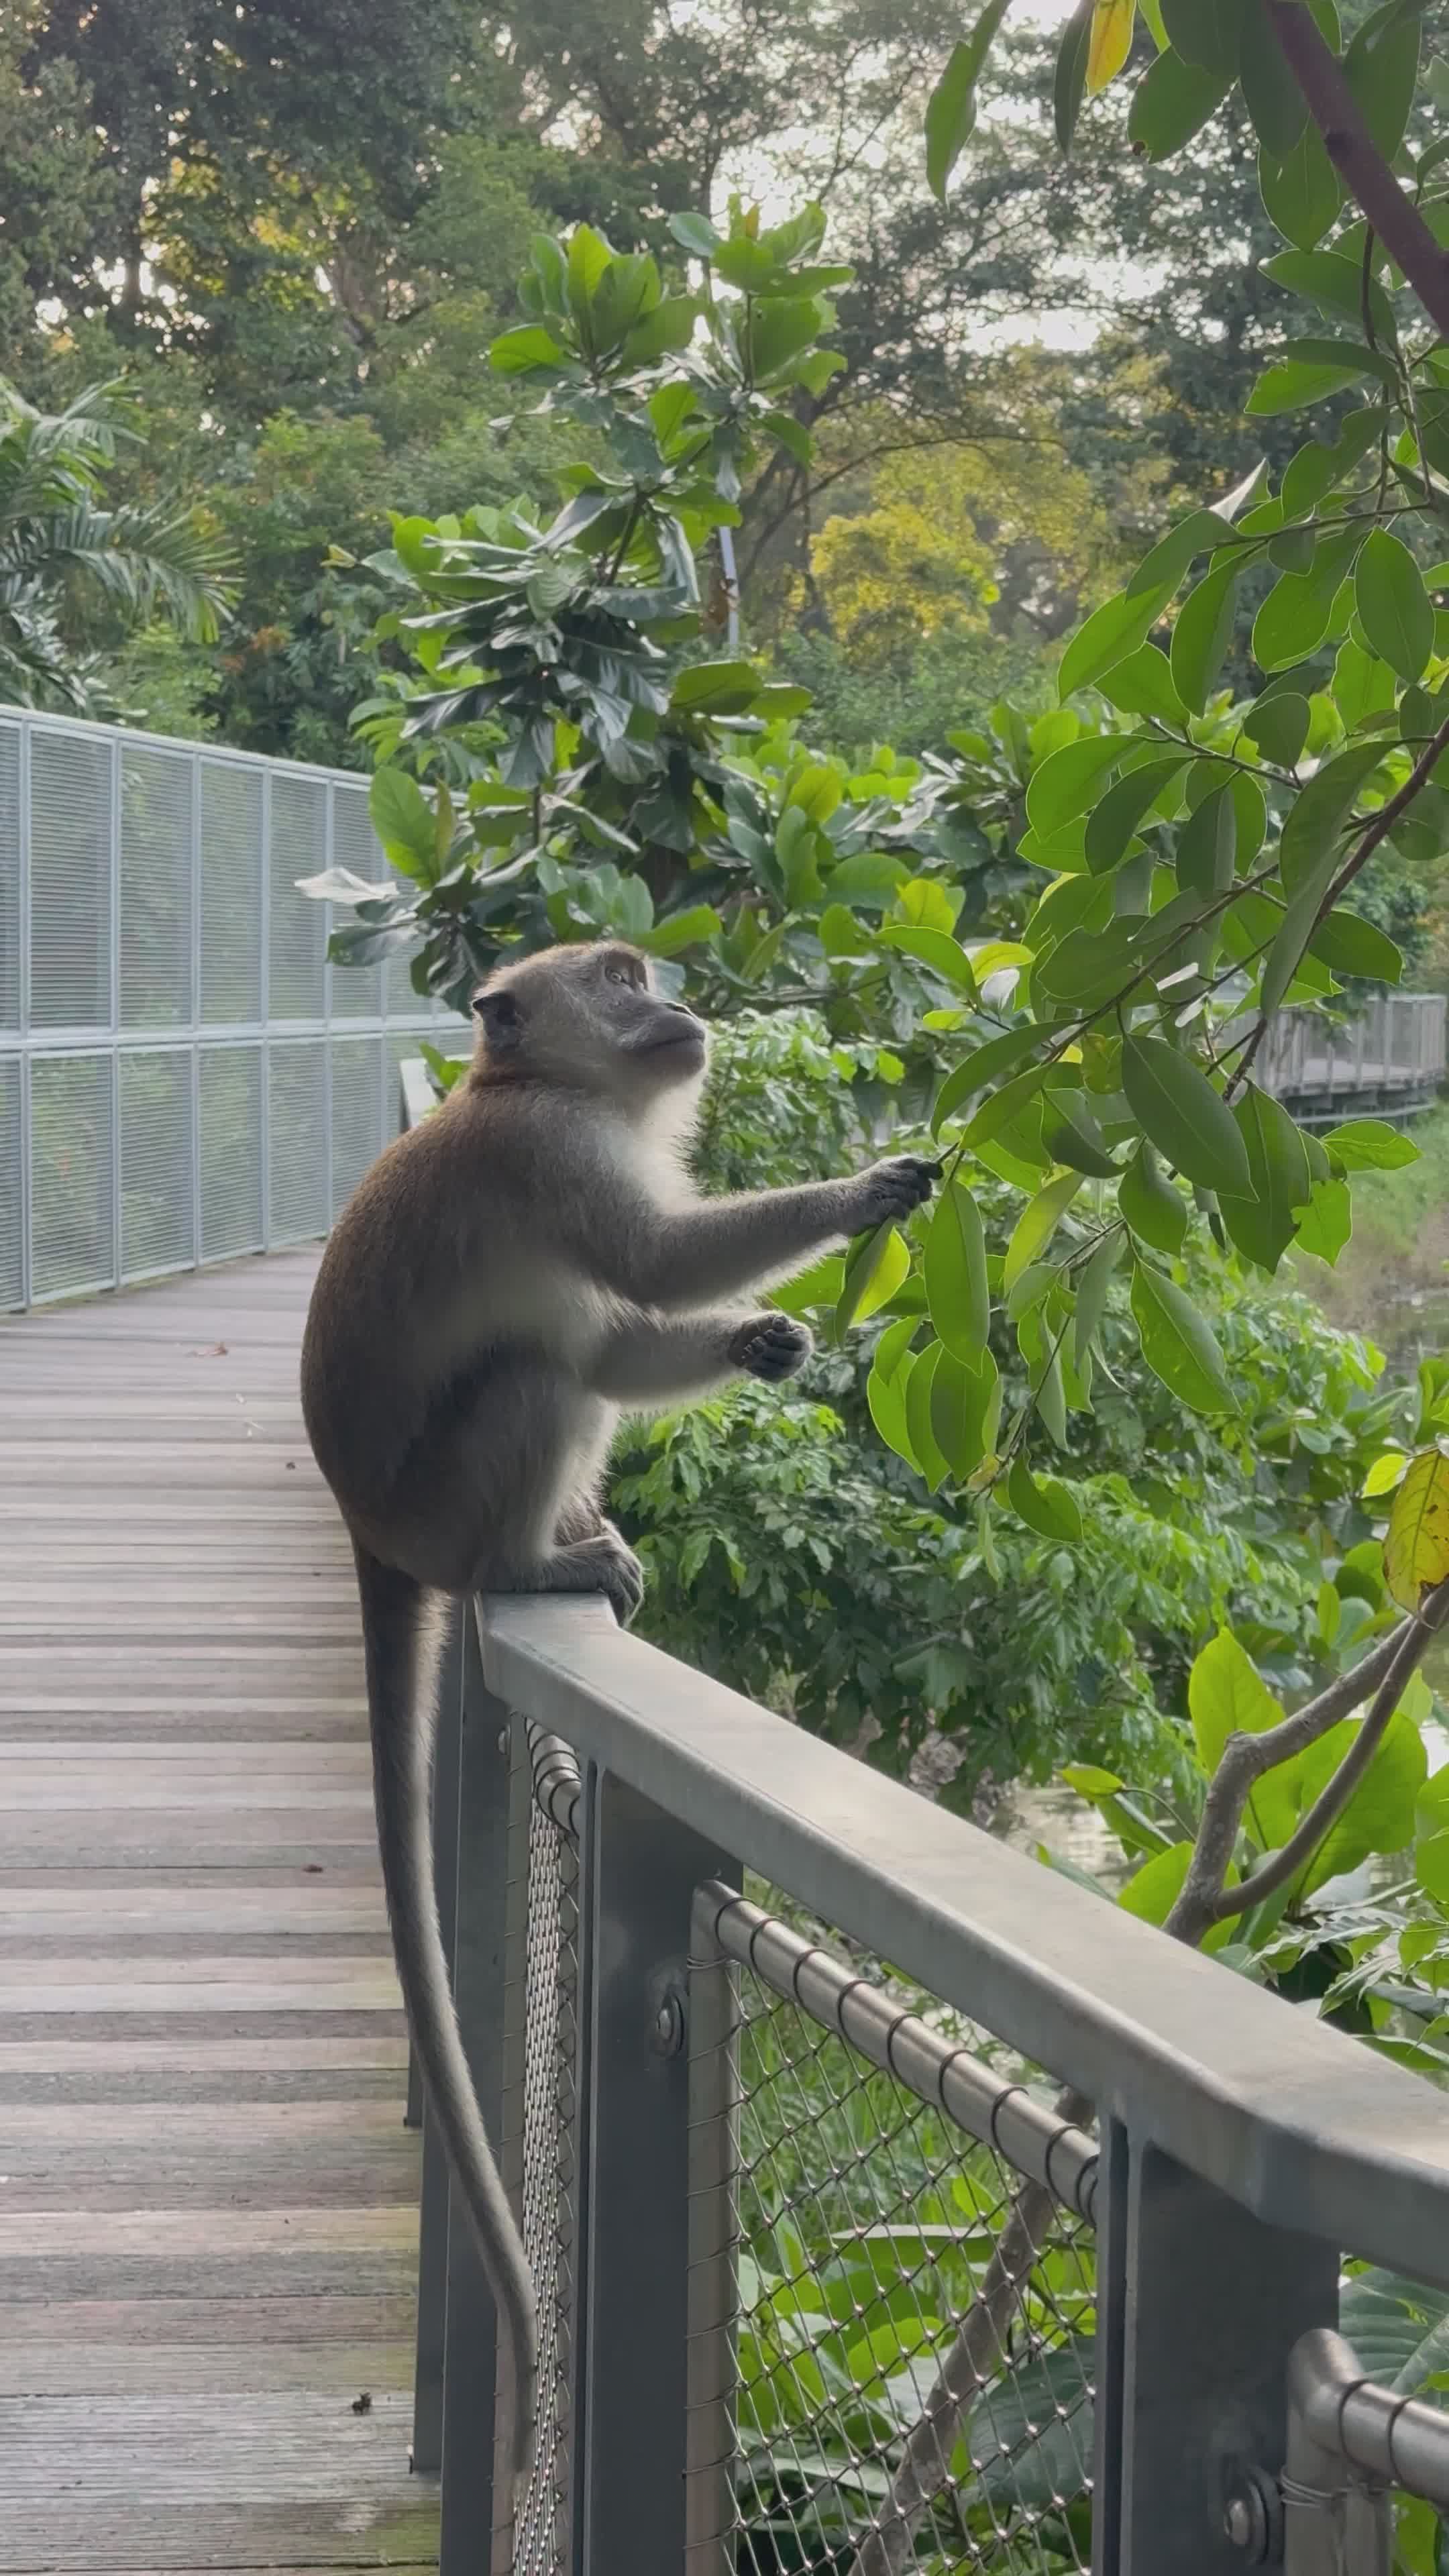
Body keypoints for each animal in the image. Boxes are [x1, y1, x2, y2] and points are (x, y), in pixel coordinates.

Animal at [299, 937, 938, 2493]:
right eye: (619, 974)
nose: (677, 1001)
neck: (529, 1083)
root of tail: (372, 1529)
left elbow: (640, 1329)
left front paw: (764, 1338)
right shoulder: (552, 1158)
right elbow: (649, 1267)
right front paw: (864, 1191)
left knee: (580, 1357)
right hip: (448, 1493)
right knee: (542, 1372)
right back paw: (536, 1560)